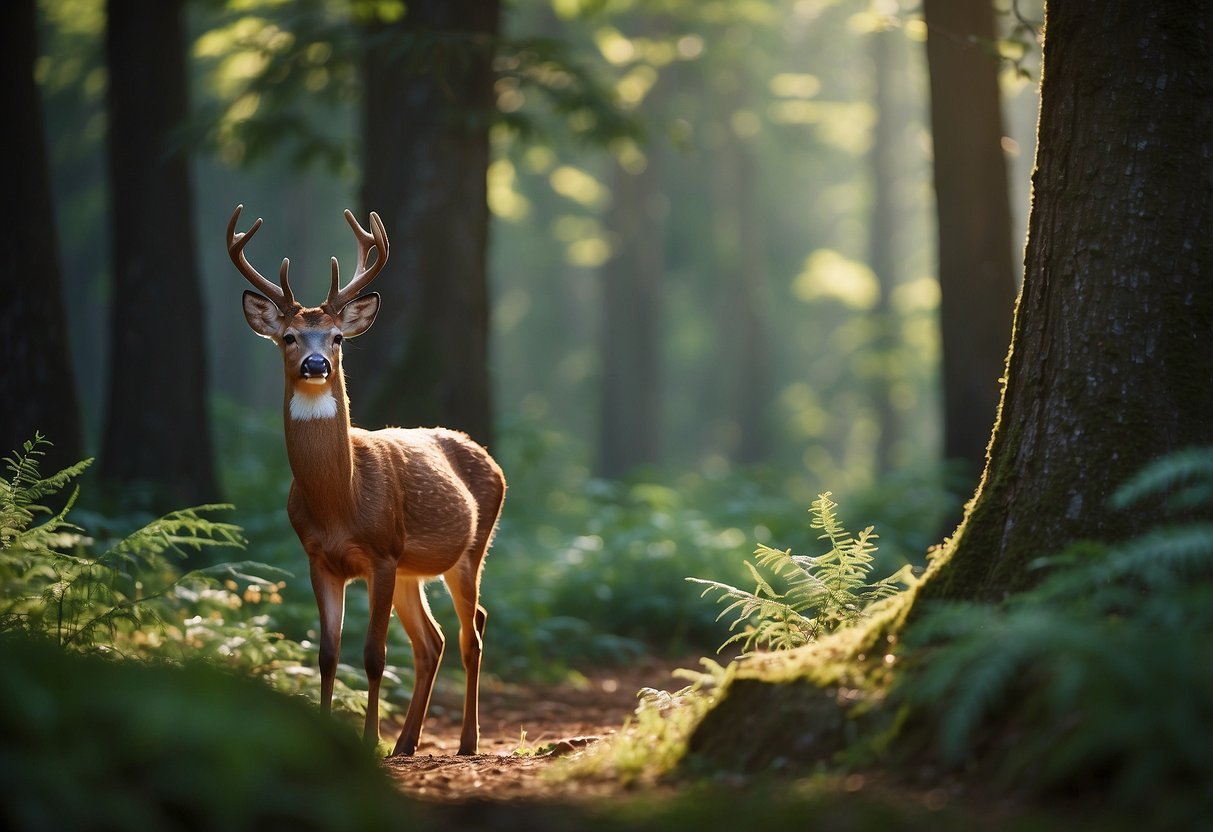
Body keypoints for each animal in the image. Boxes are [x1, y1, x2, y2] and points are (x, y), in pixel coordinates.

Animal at [225, 204, 504, 761]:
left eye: (336, 337)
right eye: (288, 337)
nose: (316, 364)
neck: (342, 503)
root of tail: (492, 461)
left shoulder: (381, 552)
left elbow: (374, 655)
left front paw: (368, 740)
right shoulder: (318, 558)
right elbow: (328, 654)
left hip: (467, 549)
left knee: (473, 631)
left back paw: (466, 741)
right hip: (413, 569)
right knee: (433, 641)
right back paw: (407, 743)